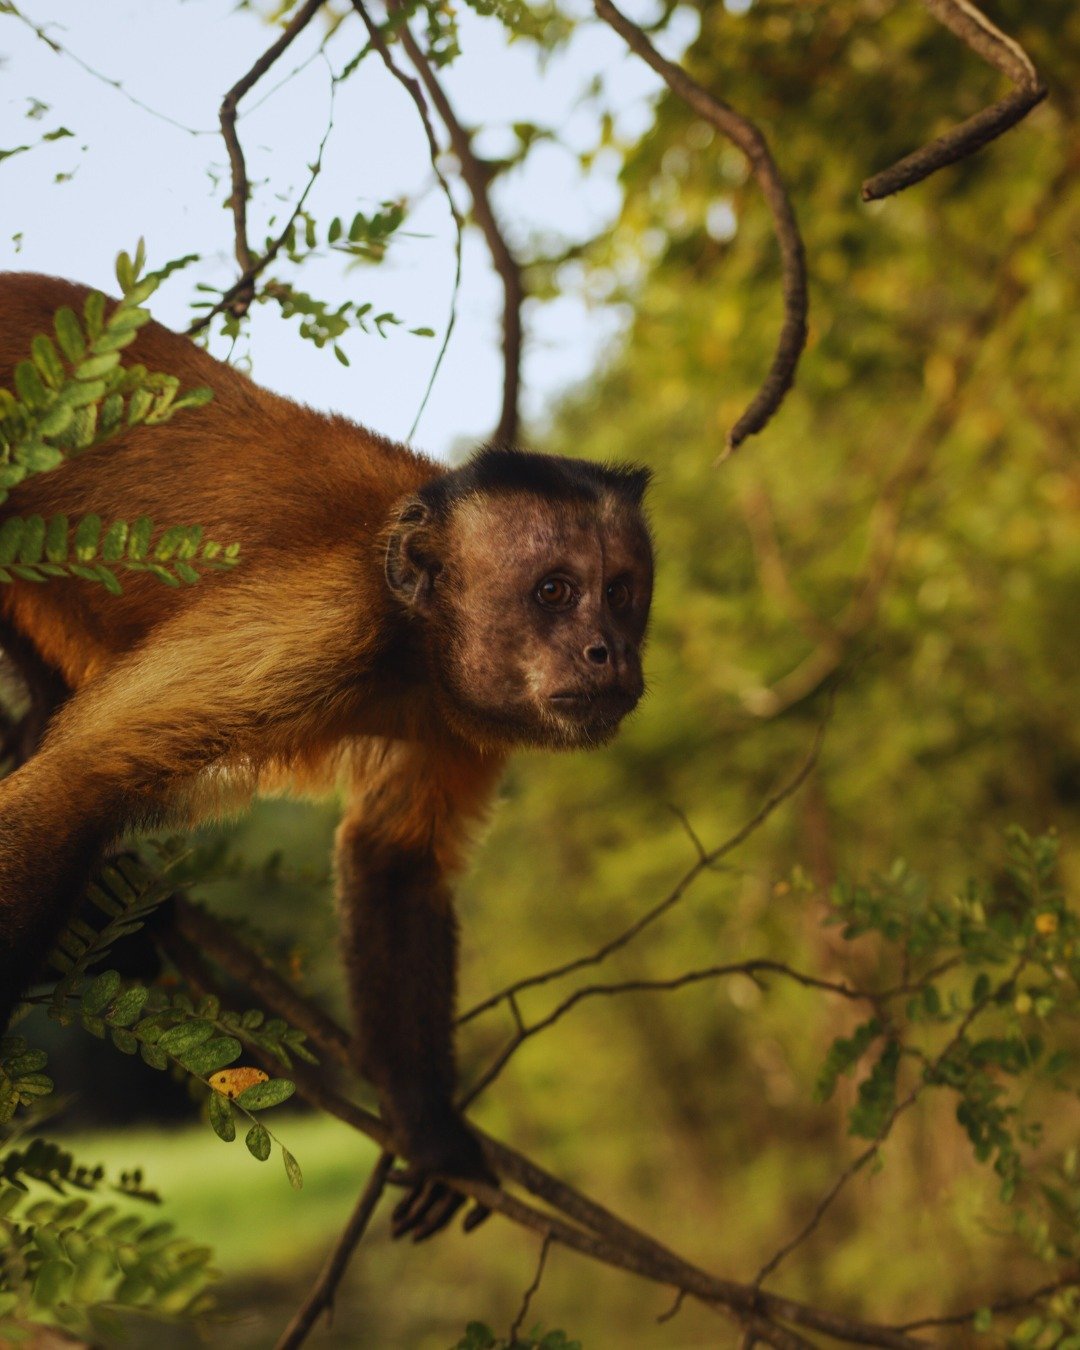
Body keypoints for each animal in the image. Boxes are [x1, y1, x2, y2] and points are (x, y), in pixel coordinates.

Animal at [0, 272, 653, 1240]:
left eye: (621, 594)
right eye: (554, 592)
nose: (609, 652)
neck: (410, 633)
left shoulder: (458, 711)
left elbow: (393, 858)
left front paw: (432, 1130)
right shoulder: (318, 617)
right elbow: (81, 778)